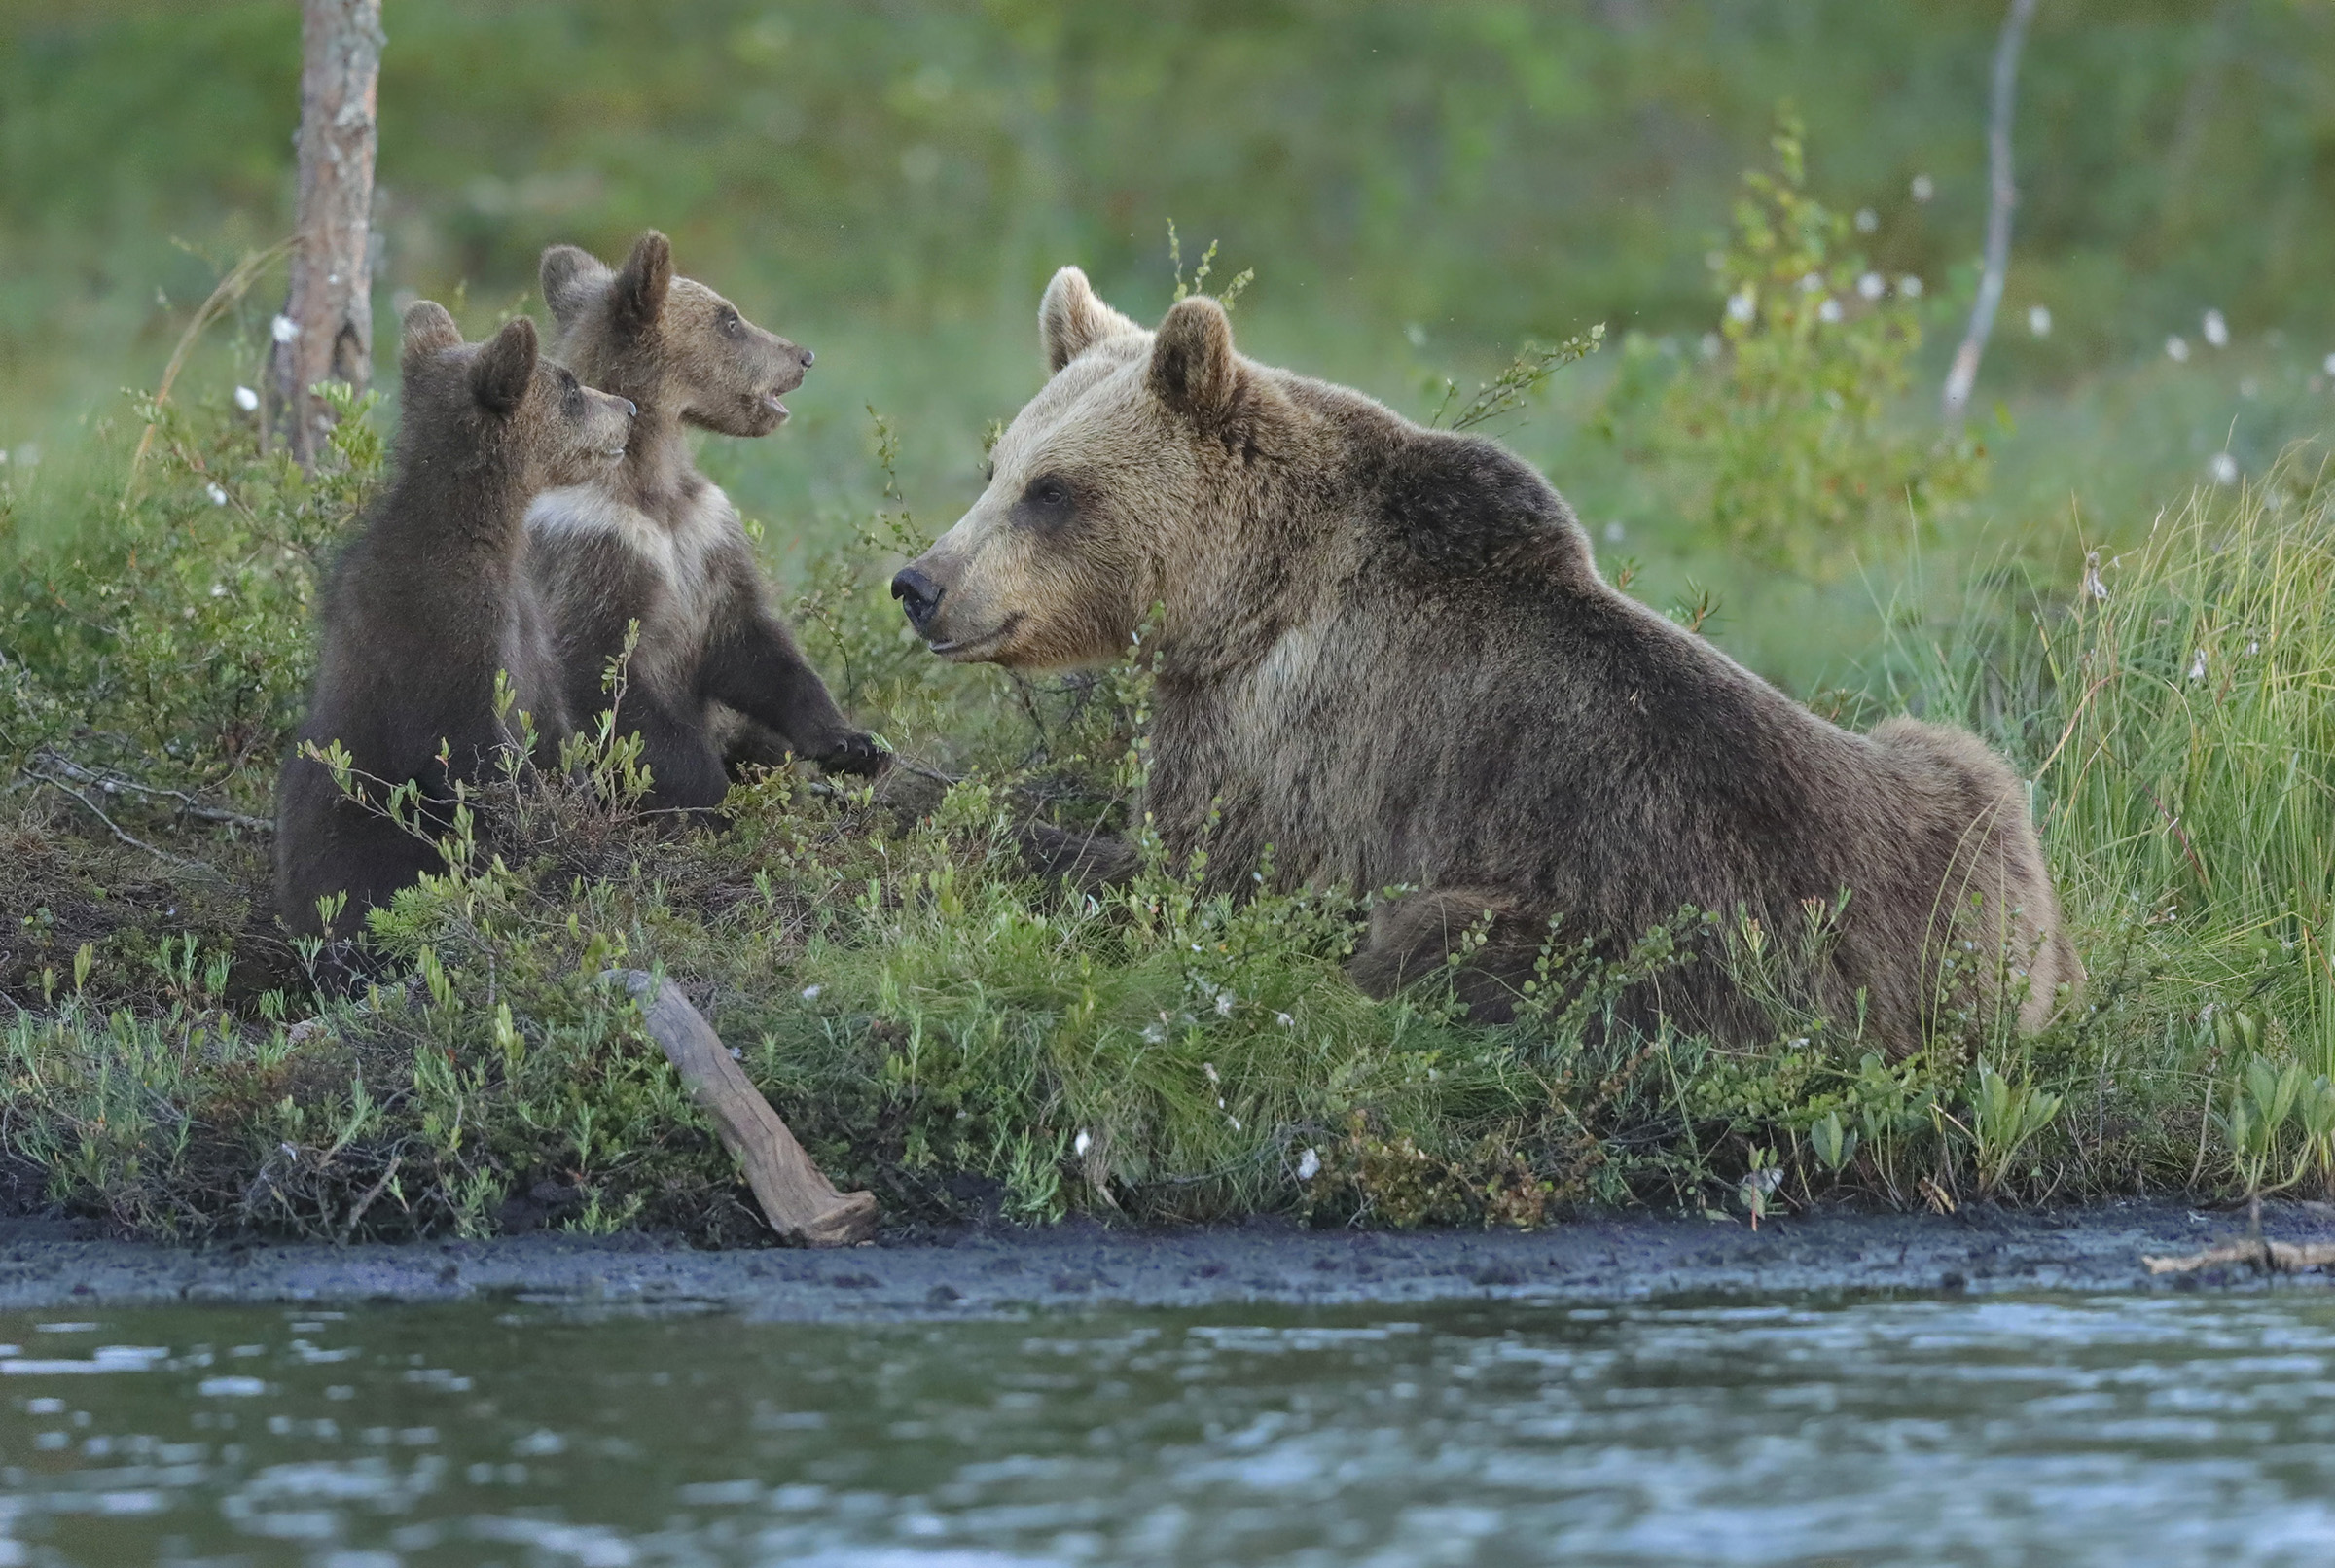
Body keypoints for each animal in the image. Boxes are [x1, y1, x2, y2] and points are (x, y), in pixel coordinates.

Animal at [274, 302, 635, 941]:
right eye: (569, 387)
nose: (628, 409)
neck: (487, 533)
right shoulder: (450, 633)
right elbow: (477, 759)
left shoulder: (526, 630)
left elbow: (551, 732)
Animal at [525, 231, 880, 816]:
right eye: (729, 320)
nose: (804, 355)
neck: (651, 481)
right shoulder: (593, 548)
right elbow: (609, 685)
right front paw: (708, 799)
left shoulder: (705, 534)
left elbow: (752, 644)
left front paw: (852, 742)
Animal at [889, 266, 2081, 1053]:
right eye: (997, 466)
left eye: (1054, 490)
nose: (921, 583)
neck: (1243, 596)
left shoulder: (1287, 735)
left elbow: (1184, 877)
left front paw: (946, 806)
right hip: (1969, 806)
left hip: (1661, 938)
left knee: (1439, 936)